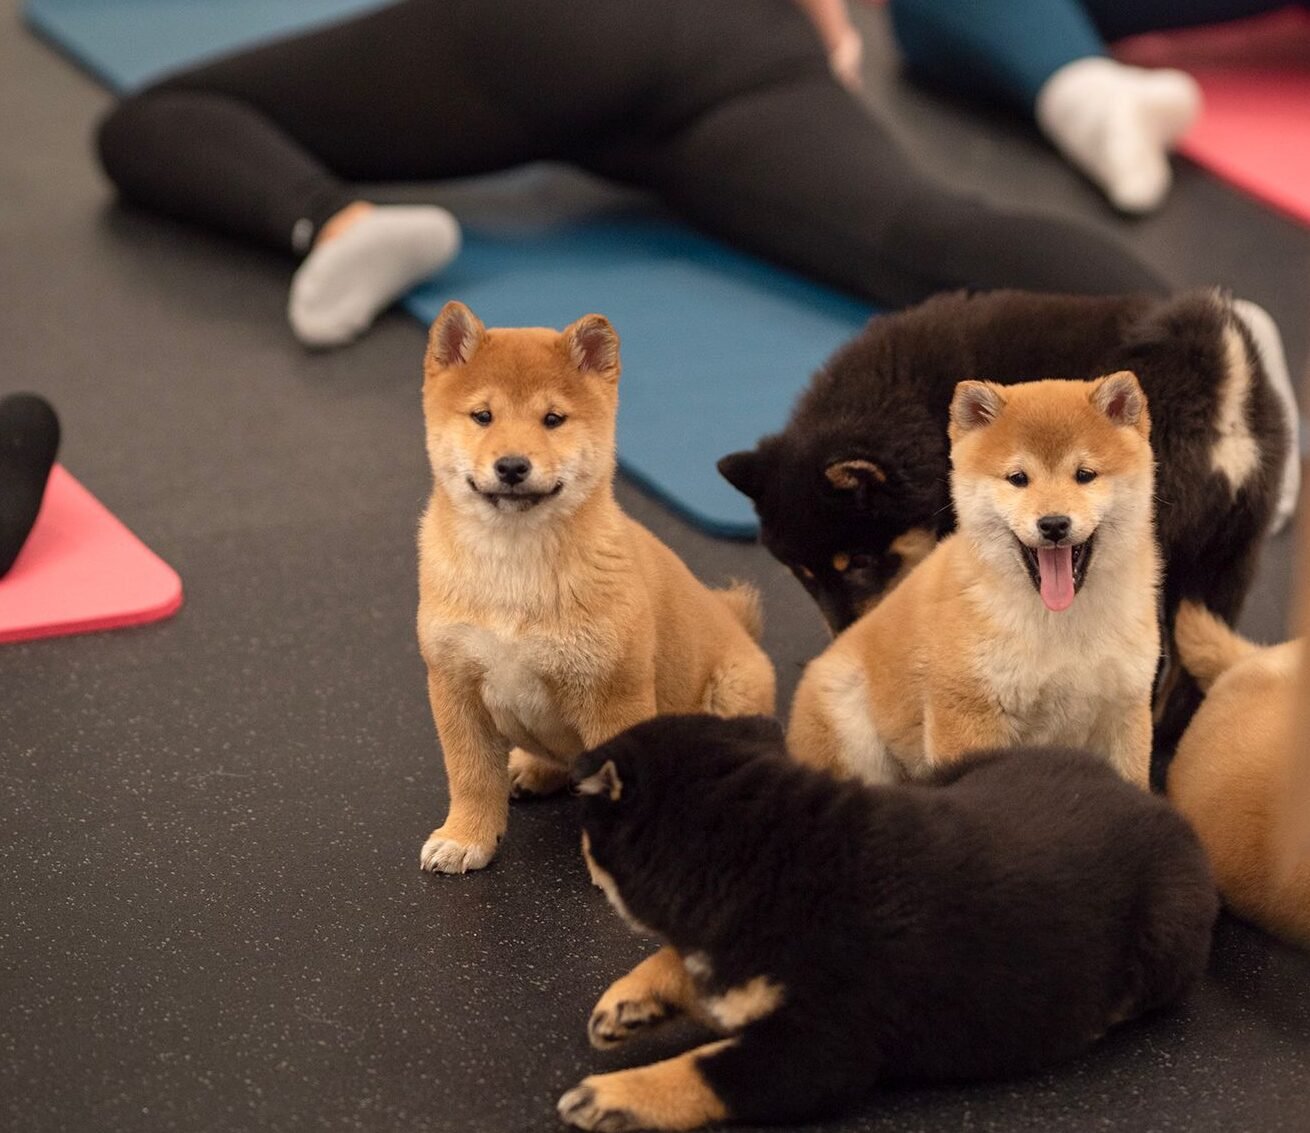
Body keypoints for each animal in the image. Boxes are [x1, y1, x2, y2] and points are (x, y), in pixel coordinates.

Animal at [413, 302, 770, 874]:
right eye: (483, 416)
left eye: (553, 419)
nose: (511, 465)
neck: (514, 569)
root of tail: (740, 627)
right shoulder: (455, 685)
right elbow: (470, 776)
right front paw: (466, 836)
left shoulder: (613, 699)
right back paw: (532, 768)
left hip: (731, 694)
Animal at [560, 717, 1215, 1131]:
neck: (769, 857)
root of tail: (1156, 802)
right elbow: (686, 967)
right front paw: (632, 999)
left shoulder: (817, 1055)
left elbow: (704, 1071)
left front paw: (614, 1094)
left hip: (1168, 932)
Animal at [785, 371, 1158, 785]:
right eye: (1018, 478)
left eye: (1085, 475)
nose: (1054, 524)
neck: (1062, 626)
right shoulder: (968, 714)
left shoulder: (1125, 713)